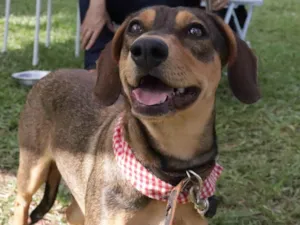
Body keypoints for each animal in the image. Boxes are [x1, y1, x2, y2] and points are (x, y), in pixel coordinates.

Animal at [12, 5, 258, 225]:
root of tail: (50, 74)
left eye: (196, 31)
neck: (171, 178)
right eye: (135, 27)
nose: (147, 49)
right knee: (21, 203)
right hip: (32, 169)